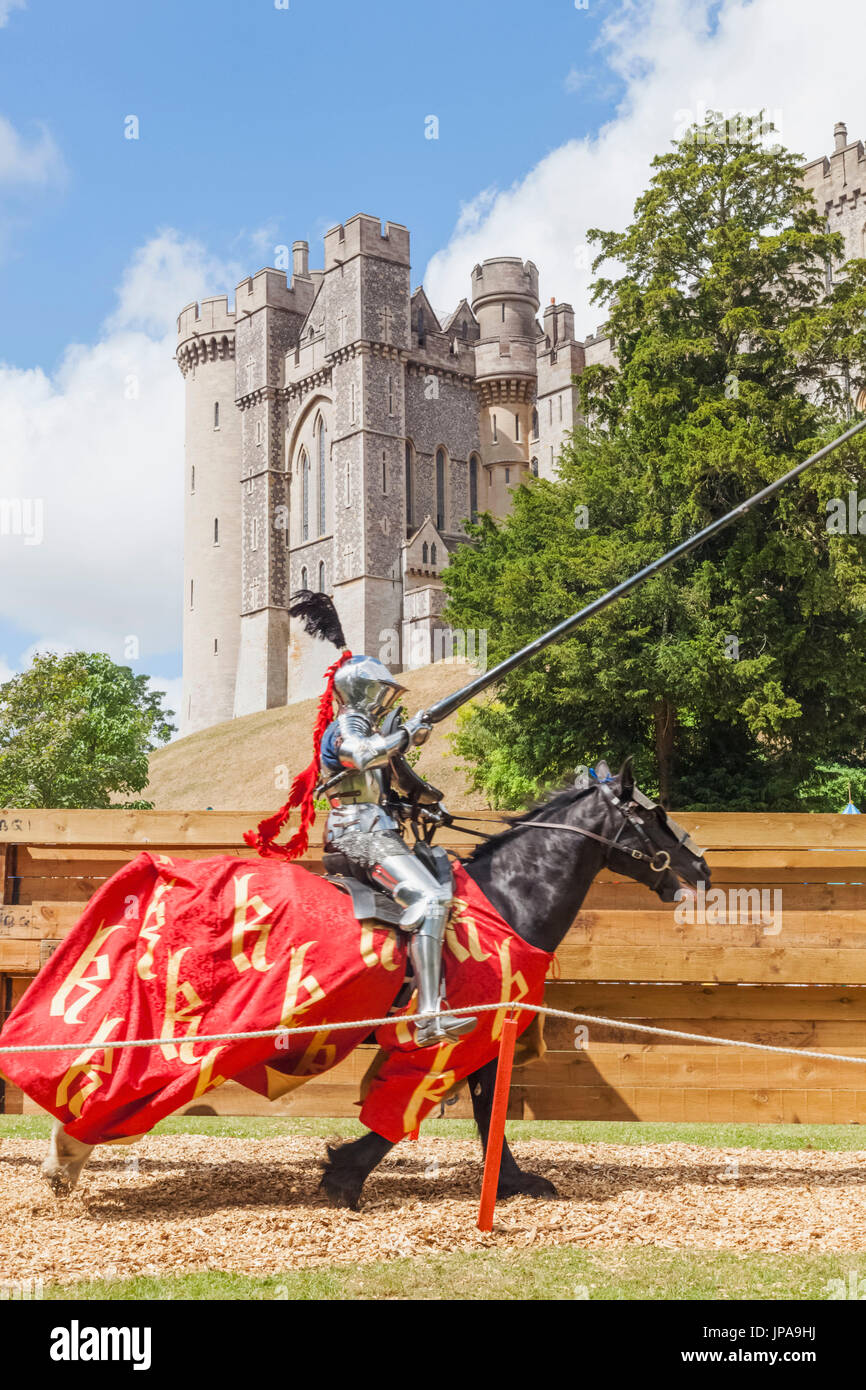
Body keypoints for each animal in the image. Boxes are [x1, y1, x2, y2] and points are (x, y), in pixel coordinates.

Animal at [322, 761, 708, 1206]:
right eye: (654, 814)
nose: (702, 867)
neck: (505, 903)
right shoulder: (476, 1035)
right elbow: (468, 1100)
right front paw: (345, 1174)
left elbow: (482, 1105)